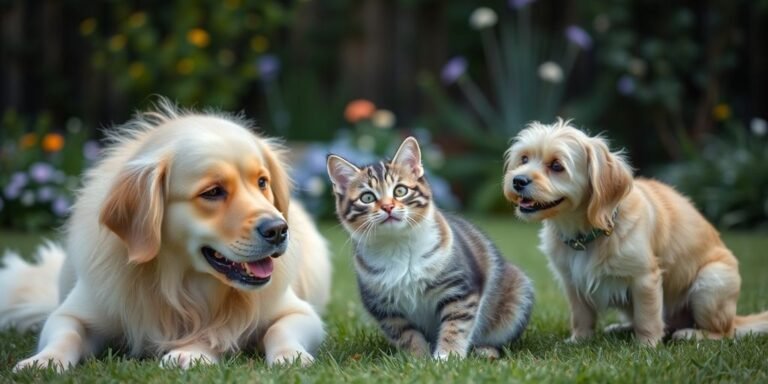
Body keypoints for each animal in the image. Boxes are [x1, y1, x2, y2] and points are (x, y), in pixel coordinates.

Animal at [0, 100, 330, 370]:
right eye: (213, 192)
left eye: (262, 182)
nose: (279, 230)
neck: (178, 282)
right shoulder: (74, 311)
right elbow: (65, 334)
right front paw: (43, 361)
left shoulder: (299, 313)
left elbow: (260, 330)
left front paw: (194, 351)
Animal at [324, 136, 536, 358]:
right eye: (367, 197)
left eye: (400, 190)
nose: (388, 207)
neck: (398, 245)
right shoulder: (385, 309)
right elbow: (406, 334)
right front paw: (418, 359)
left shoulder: (459, 288)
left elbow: (456, 325)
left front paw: (447, 357)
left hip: (518, 293)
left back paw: (486, 350)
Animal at [504, 119, 768, 344]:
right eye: (524, 159)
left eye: (557, 166)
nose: (517, 180)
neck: (587, 231)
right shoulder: (572, 282)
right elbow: (581, 317)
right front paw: (579, 340)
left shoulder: (645, 279)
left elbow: (647, 317)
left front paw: (647, 345)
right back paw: (621, 328)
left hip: (711, 282)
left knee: (724, 332)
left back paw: (691, 334)